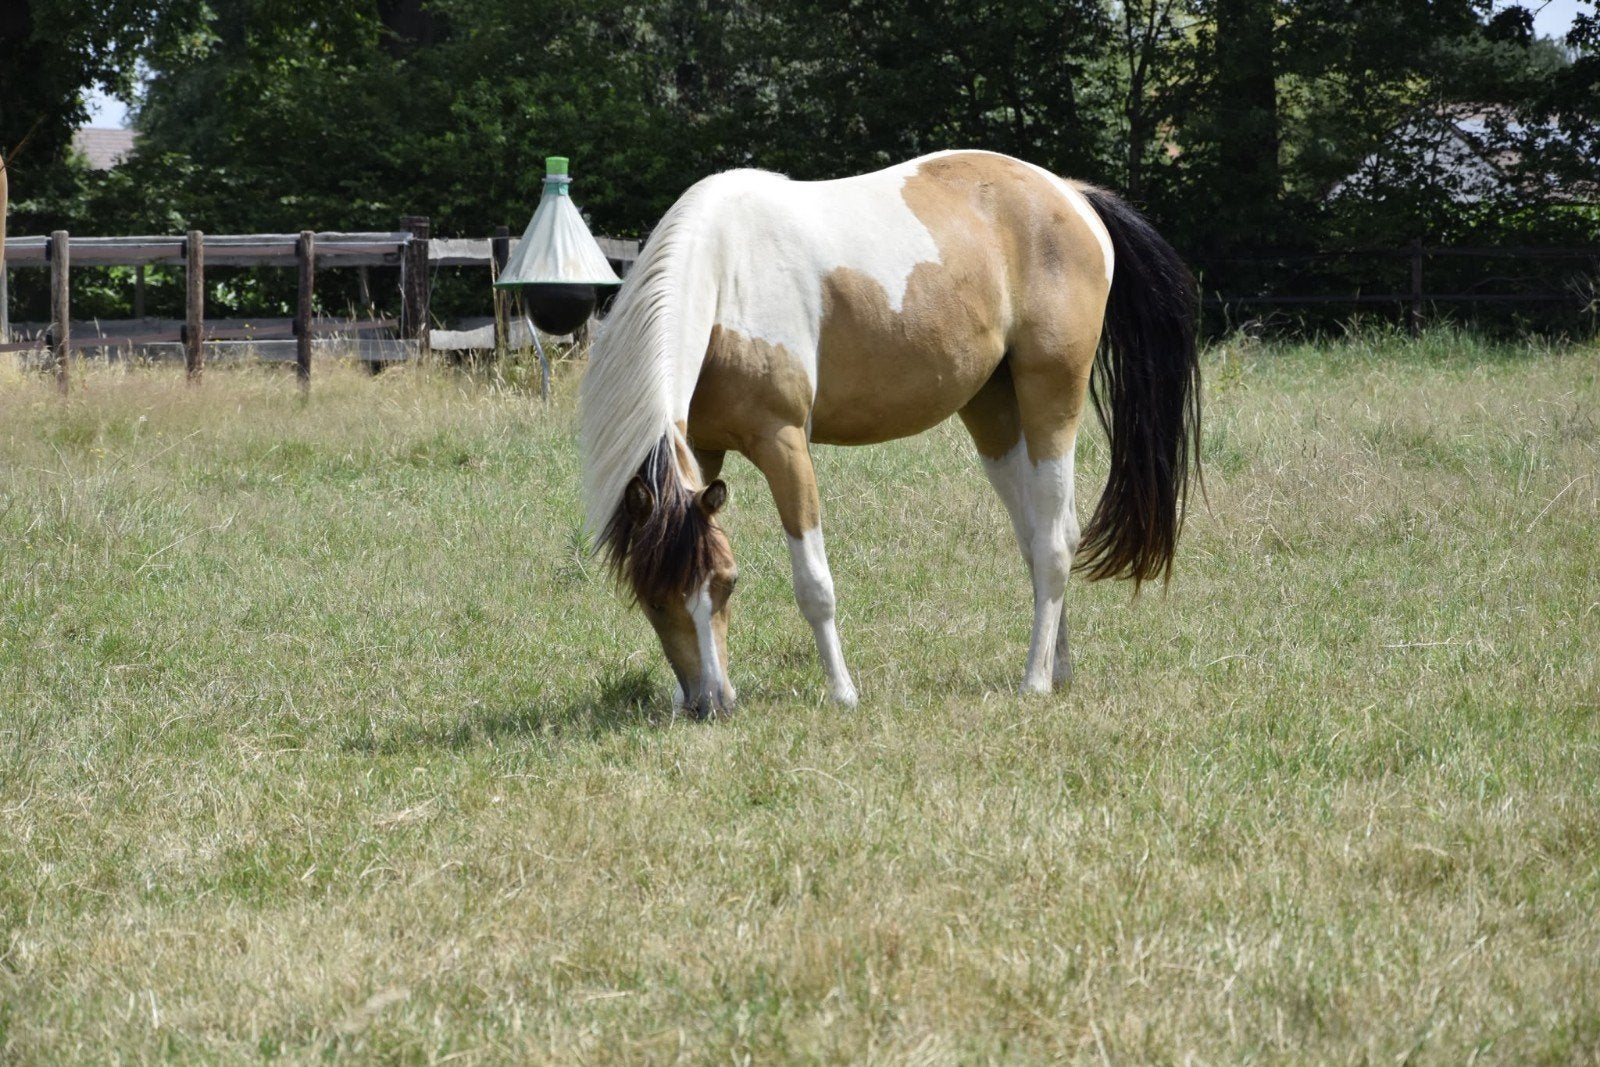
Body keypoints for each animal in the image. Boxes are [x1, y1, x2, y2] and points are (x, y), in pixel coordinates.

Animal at [579, 149, 1200, 718]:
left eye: (729, 583)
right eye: (653, 602)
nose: (710, 703)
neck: (727, 274)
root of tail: (1071, 194)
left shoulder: (783, 444)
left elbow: (814, 585)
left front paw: (843, 694)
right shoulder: (704, 451)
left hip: (1053, 394)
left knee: (1053, 542)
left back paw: (1035, 682)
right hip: (995, 414)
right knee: (1045, 534)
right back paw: (1058, 667)